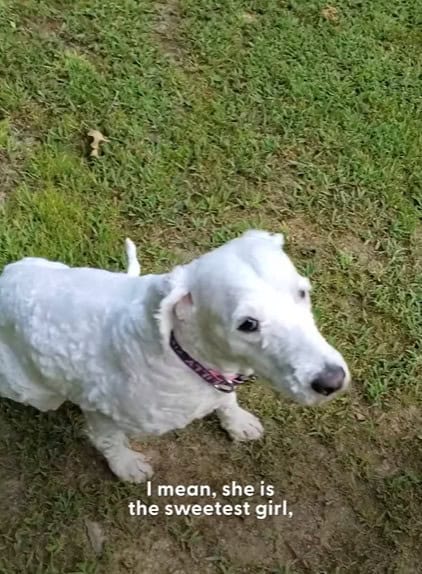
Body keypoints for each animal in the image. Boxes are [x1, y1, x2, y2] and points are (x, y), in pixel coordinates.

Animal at [0, 230, 350, 482]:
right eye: (248, 324)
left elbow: (227, 400)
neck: (187, 356)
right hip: (33, 392)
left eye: (302, 293)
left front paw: (236, 421)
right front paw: (125, 465)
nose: (332, 381)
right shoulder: (97, 407)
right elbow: (109, 440)